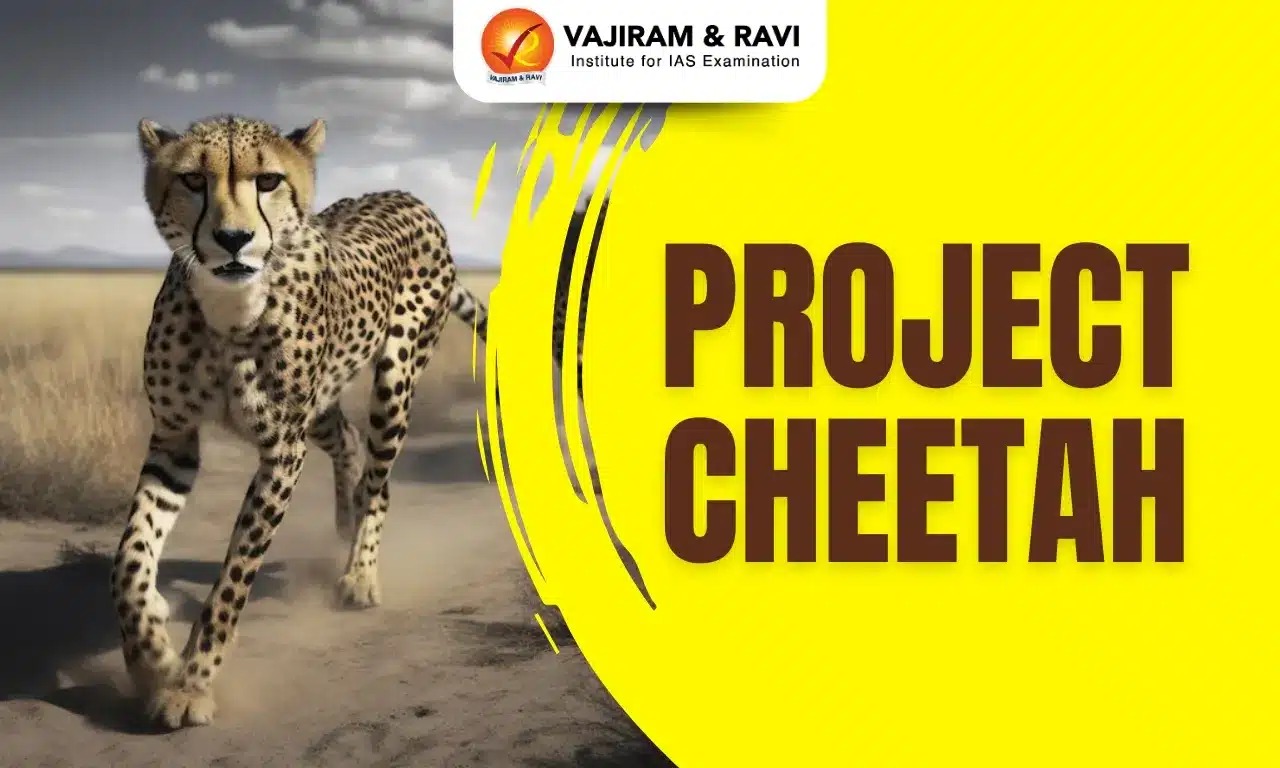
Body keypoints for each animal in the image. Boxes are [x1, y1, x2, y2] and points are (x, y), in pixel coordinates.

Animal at [109, 113, 502, 729]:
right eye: (193, 179)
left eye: (268, 180)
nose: (233, 239)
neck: (230, 307)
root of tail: (406, 194)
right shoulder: (175, 437)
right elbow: (130, 558)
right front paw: (151, 656)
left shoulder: (281, 452)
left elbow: (233, 579)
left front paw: (190, 684)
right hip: (320, 407)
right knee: (348, 441)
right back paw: (344, 516)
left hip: (395, 377)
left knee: (380, 484)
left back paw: (360, 573)